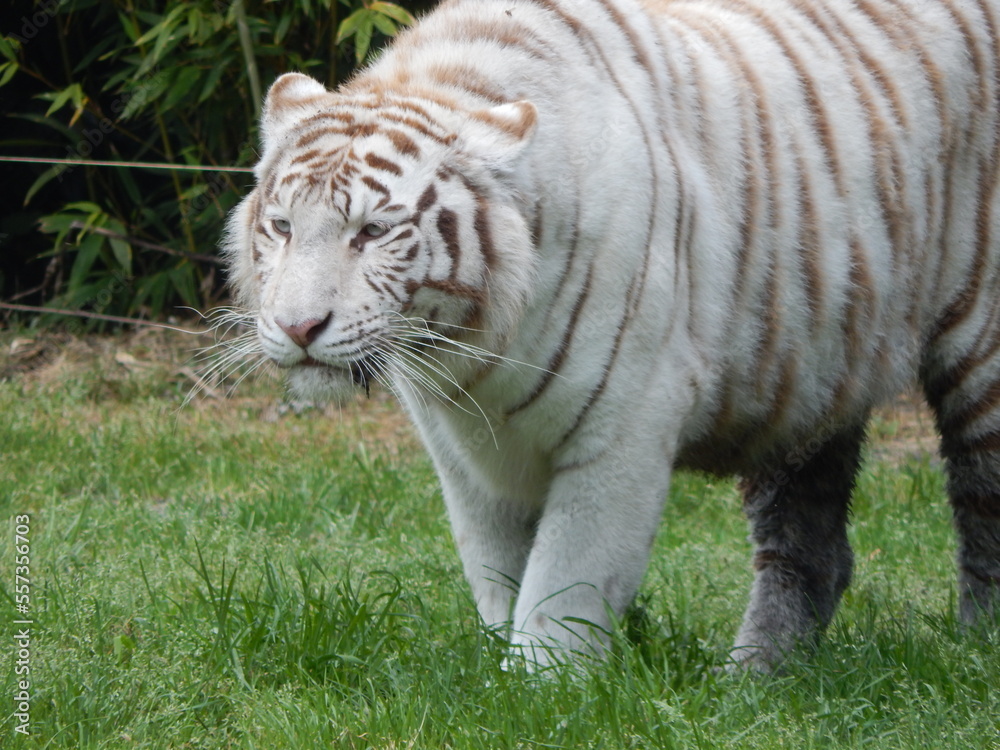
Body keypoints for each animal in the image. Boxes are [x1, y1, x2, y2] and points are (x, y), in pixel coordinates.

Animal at [222, 0, 1000, 670]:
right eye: (283, 226)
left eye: (373, 232)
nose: (298, 326)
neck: (473, 349)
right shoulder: (466, 458)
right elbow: (498, 575)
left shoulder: (622, 427)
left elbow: (563, 585)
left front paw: (538, 693)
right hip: (808, 373)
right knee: (812, 549)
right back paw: (753, 680)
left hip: (981, 352)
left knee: (981, 506)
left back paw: (972, 654)